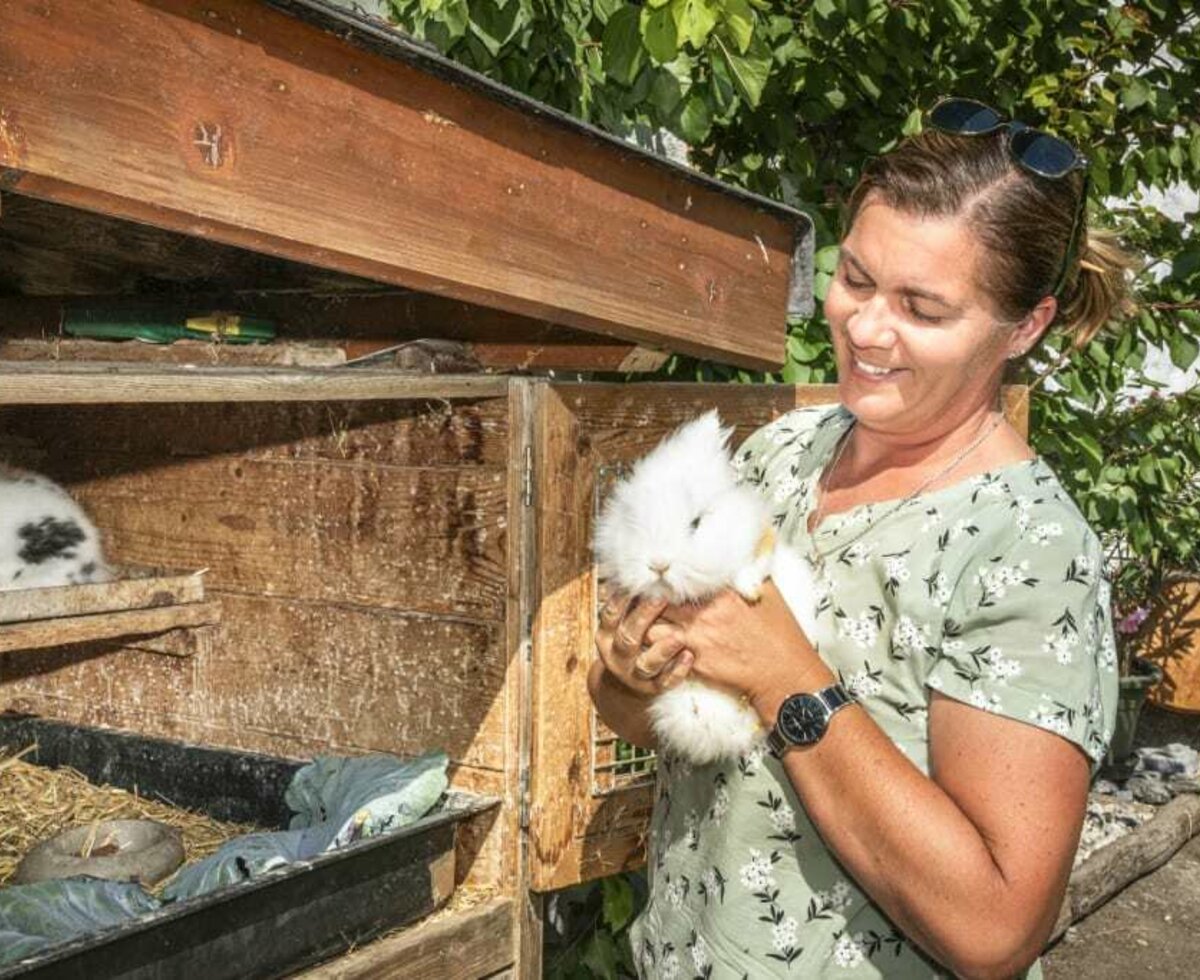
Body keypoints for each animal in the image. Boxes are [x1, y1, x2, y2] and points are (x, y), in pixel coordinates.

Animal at [595, 410, 820, 762]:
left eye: (696, 523)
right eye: (632, 523)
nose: (658, 564)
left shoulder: (759, 536)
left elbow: (757, 559)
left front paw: (749, 590)